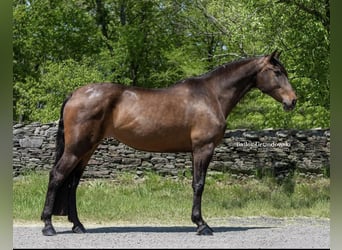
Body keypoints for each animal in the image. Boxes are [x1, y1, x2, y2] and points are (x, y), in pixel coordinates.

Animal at [40, 49, 296, 235]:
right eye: (277, 71)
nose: (292, 101)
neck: (211, 94)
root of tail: (74, 94)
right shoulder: (203, 148)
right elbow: (199, 184)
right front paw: (201, 225)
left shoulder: (196, 151)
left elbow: (196, 183)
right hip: (77, 148)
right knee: (57, 176)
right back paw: (48, 226)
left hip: (87, 149)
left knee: (73, 183)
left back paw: (78, 225)